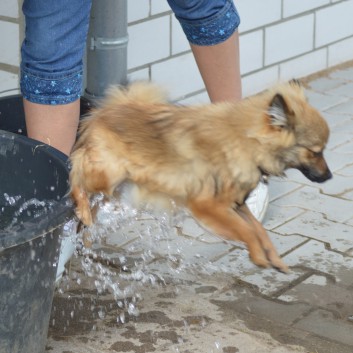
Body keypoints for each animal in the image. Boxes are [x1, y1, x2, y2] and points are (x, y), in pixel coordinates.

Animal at [69, 80, 330, 272]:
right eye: (315, 152)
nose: (329, 176)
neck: (244, 142)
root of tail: (101, 113)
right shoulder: (208, 207)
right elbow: (247, 231)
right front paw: (258, 255)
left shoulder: (235, 204)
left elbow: (258, 229)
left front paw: (273, 257)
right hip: (110, 174)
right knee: (76, 173)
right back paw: (81, 207)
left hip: (116, 190)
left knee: (88, 211)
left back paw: (85, 237)